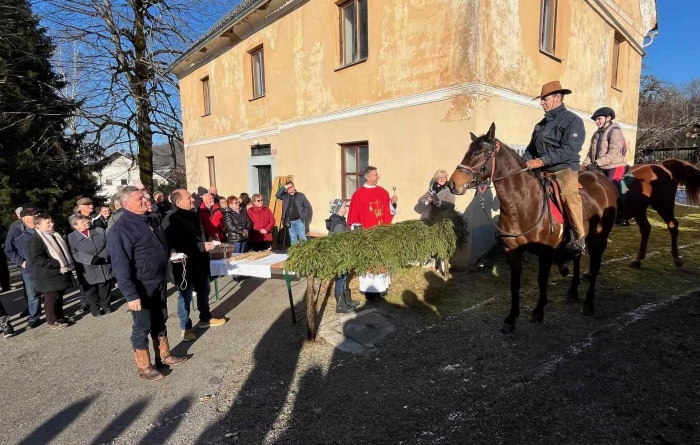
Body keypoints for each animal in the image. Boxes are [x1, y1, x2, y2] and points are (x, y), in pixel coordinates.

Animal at [452, 123, 616, 332]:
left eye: (478, 152)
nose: (452, 183)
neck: (523, 205)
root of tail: (602, 180)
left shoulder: (545, 252)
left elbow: (541, 279)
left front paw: (538, 311)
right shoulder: (513, 251)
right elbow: (515, 283)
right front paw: (511, 318)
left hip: (599, 238)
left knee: (595, 266)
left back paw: (588, 302)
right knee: (578, 256)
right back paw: (572, 291)